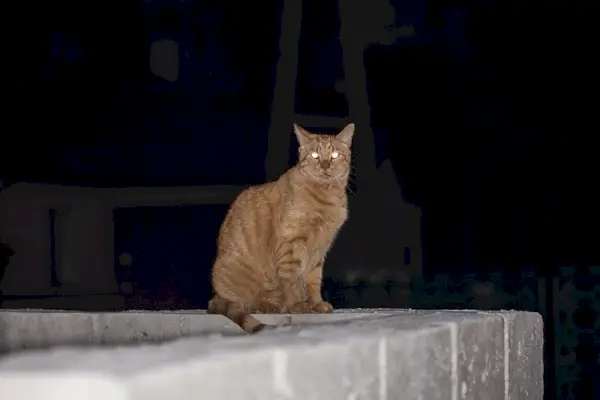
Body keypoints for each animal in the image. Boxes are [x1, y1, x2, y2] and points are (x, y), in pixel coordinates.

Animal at [207, 123, 354, 332]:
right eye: (315, 155)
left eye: (334, 155)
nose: (325, 166)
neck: (325, 196)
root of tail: (216, 299)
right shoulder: (290, 245)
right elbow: (291, 282)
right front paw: (297, 306)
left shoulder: (319, 250)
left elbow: (313, 282)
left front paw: (316, 304)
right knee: (243, 303)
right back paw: (265, 305)